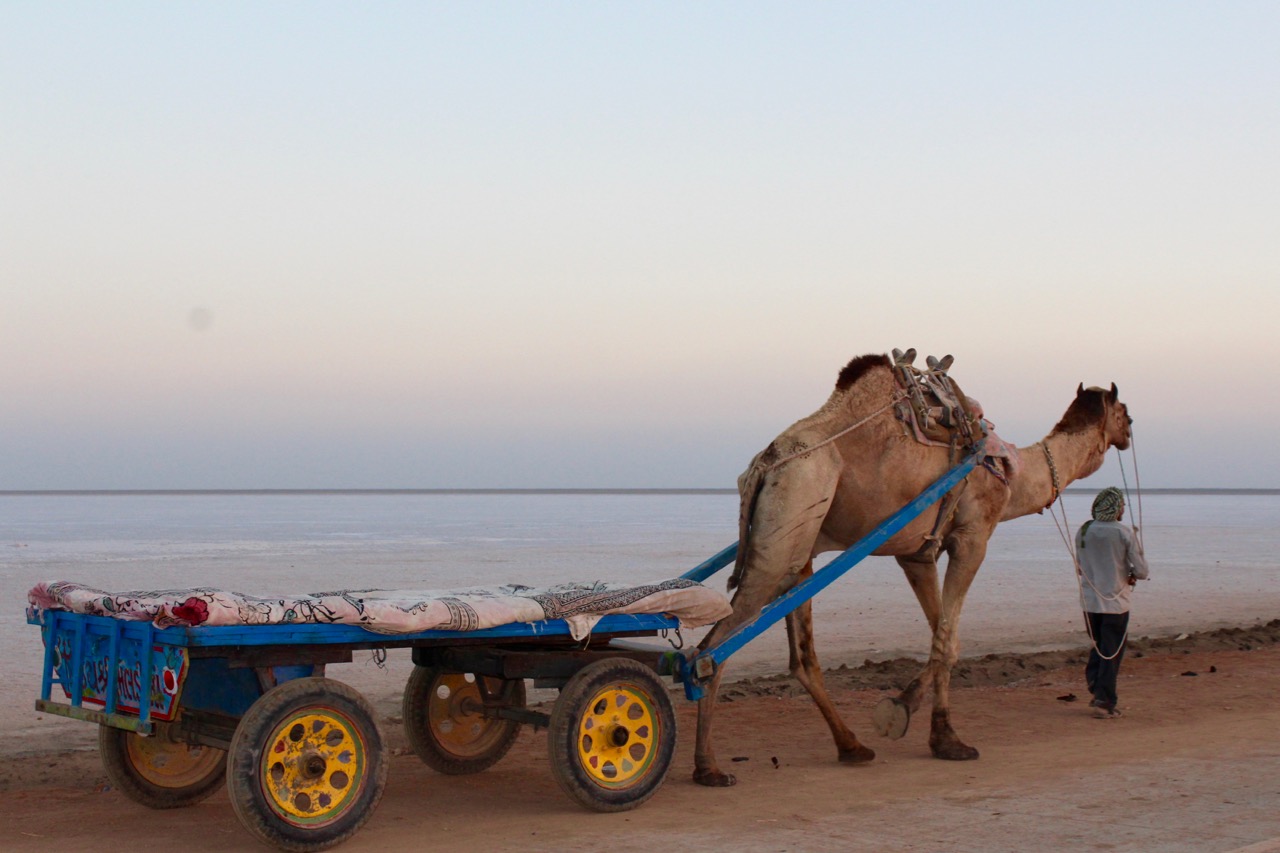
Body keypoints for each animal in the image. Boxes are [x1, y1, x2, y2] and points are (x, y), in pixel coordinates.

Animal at [692, 351, 1133, 786]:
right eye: (1124, 411)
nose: (1129, 433)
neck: (1011, 472)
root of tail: (764, 466)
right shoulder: (973, 537)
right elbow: (948, 641)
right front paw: (937, 732)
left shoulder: (916, 553)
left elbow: (941, 635)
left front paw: (918, 721)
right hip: (789, 520)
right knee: (712, 647)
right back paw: (708, 766)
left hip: (801, 549)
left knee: (801, 657)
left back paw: (852, 747)